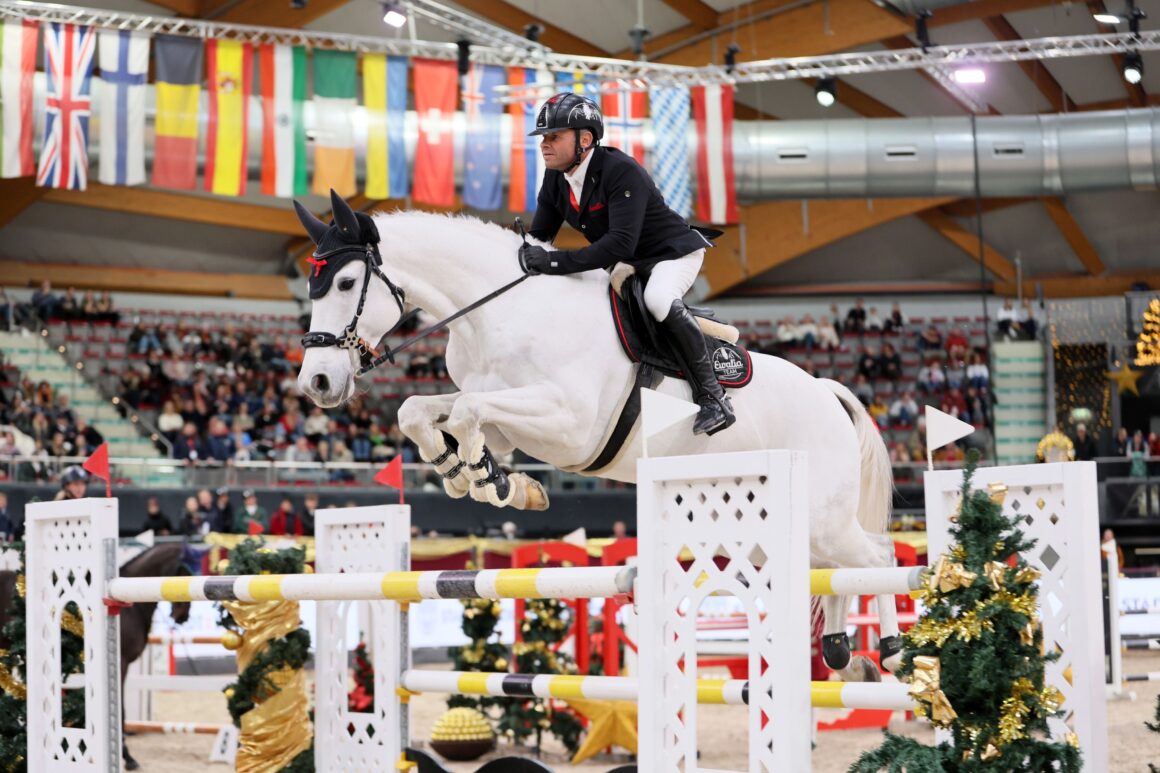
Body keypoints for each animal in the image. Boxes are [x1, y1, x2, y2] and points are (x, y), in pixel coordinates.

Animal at [294, 191, 900, 673]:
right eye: (311, 285)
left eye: (345, 282)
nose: (317, 382)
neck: (498, 315)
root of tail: (829, 392)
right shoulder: (507, 421)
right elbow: (420, 410)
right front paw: (476, 475)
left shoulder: (569, 423)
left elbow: (465, 412)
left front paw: (487, 478)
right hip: (767, 519)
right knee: (838, 567)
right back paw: (842, 648)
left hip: (821, 515)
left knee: (878, 556)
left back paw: (889, 649)